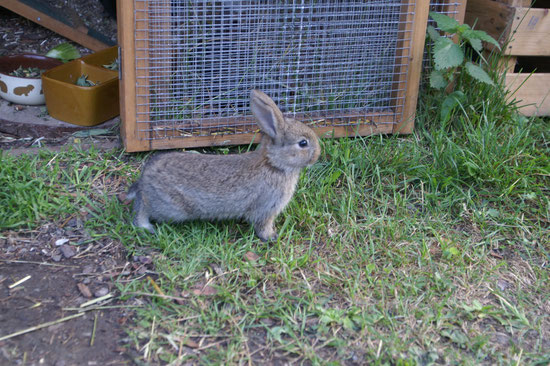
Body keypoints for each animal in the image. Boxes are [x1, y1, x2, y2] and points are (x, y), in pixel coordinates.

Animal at [126, 90, 322, 242]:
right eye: (303, 143)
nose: (317, 154)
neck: (273, 164)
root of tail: (146, 176)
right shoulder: (266, 208)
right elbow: (262, 225)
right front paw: (271, 237)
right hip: (169, 207)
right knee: (142, 207)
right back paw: (145, 226)